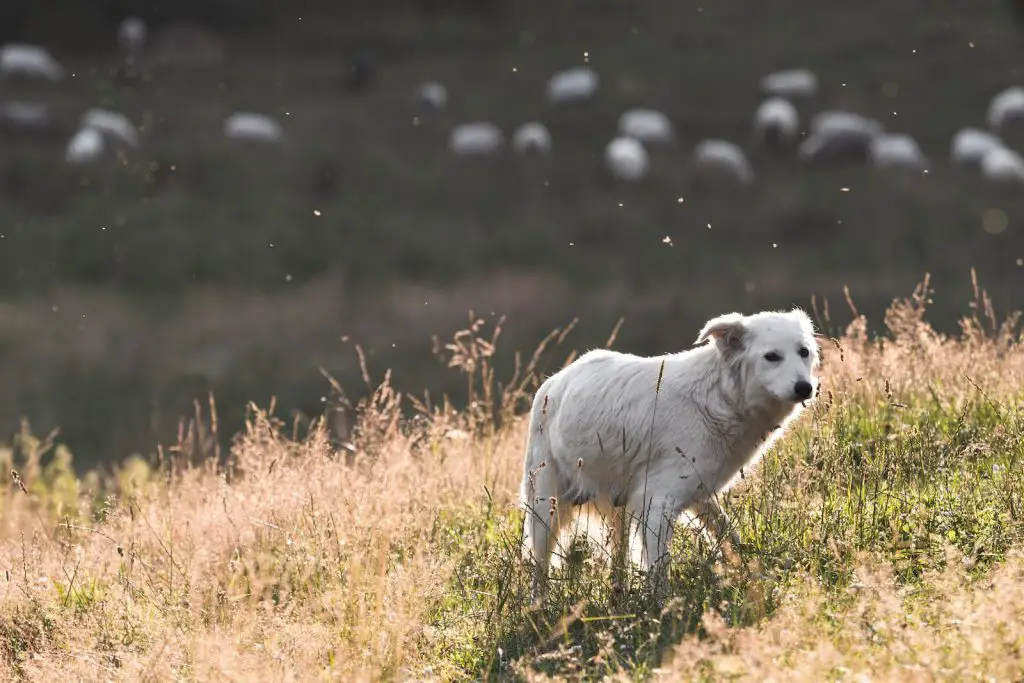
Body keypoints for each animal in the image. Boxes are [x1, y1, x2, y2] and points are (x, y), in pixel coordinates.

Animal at [516, 307, 819, 602]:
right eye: (772, 357)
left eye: (803, 352)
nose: (805, 388)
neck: (719, 397)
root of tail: (553, 382)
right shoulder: (657, 504)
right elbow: (660, 570)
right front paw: (661, 610)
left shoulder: (699, 495)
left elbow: (730, 537)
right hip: (546, 507)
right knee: (540, 568)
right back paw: (538, 609)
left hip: (618, 510)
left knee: (617, 562)